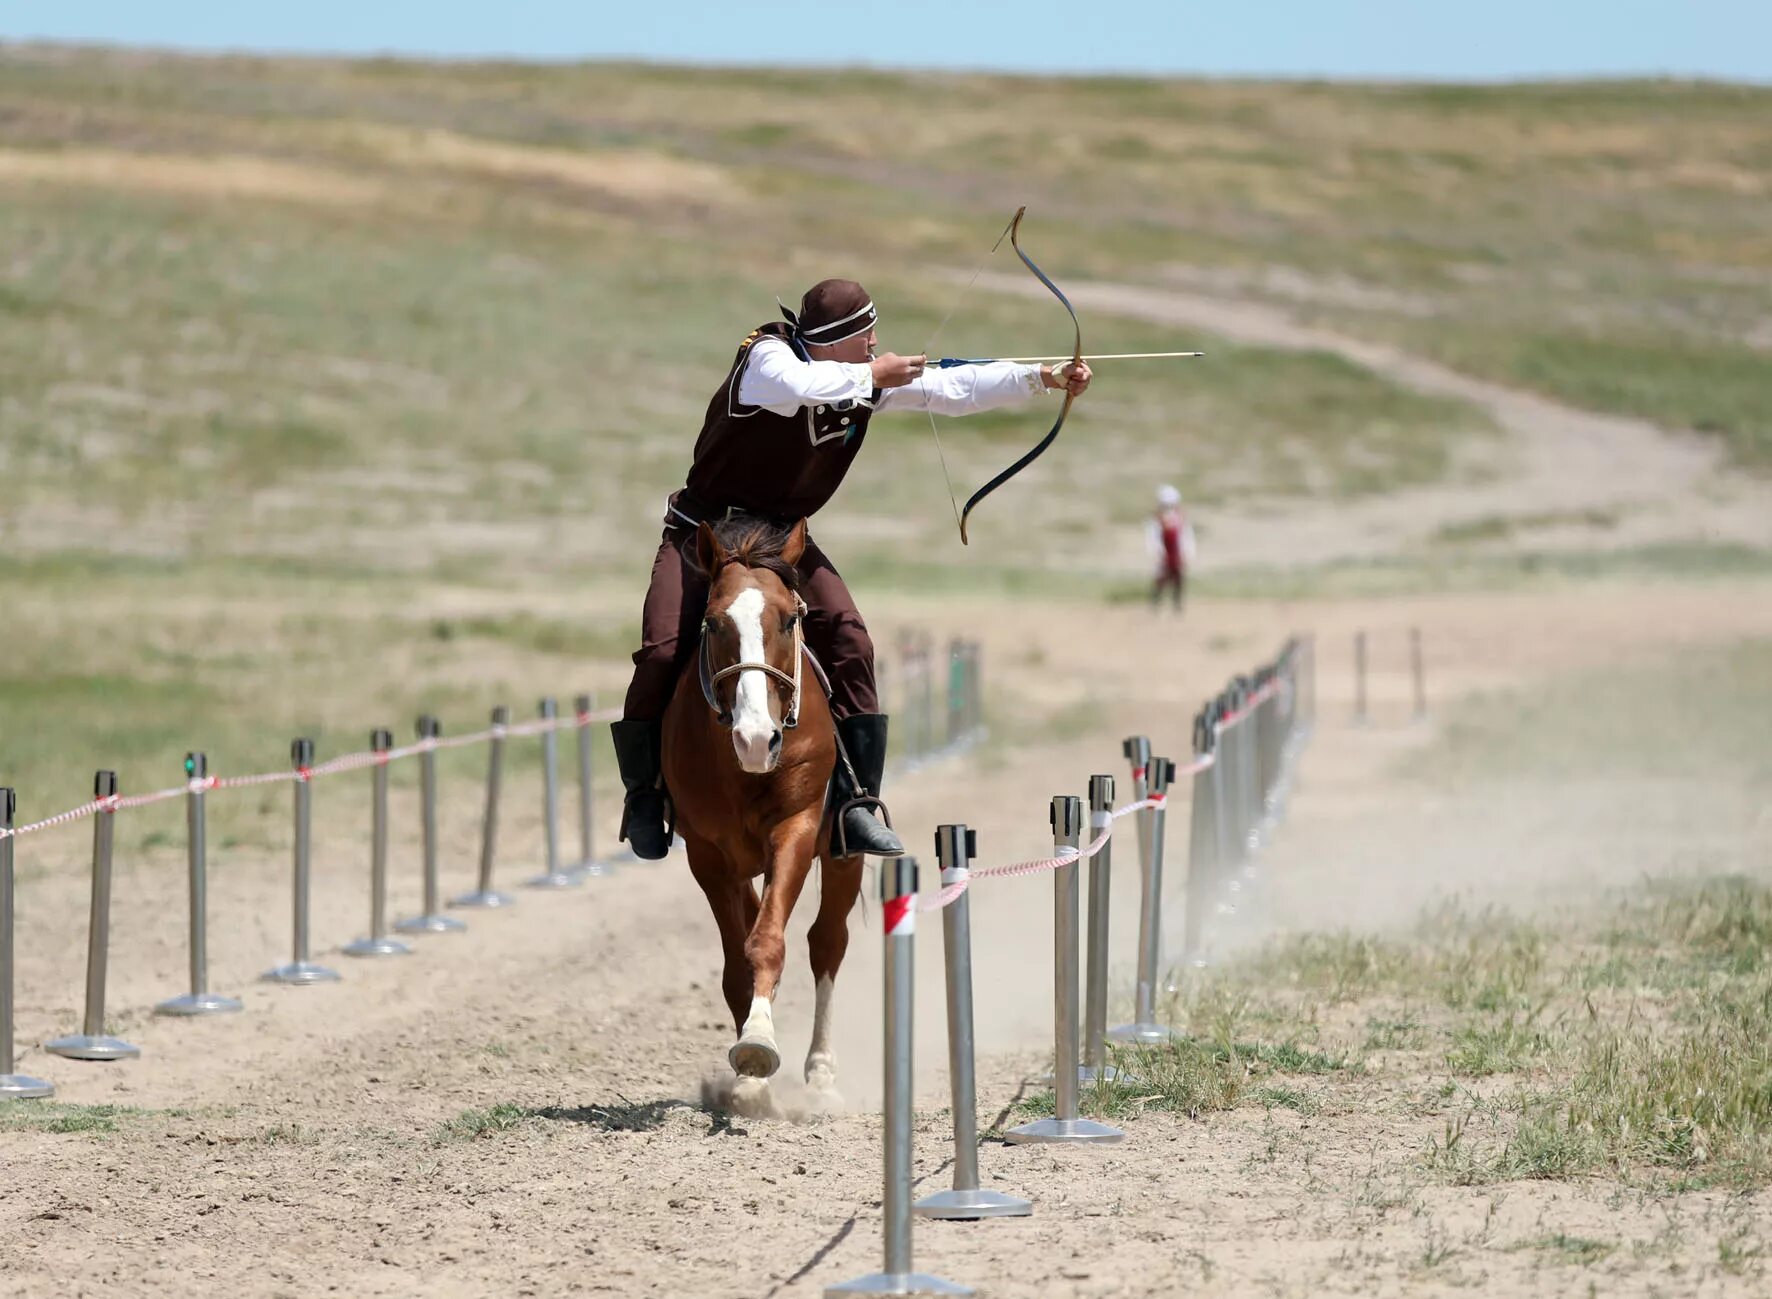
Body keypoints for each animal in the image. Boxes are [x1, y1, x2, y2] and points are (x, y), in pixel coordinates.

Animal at [662, 513, 861, 1105]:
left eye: (789, 618)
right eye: (712, 622)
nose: (756, 739)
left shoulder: (795, 831)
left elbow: (769, 942)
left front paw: (757, 1048)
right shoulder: (708, 857)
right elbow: (737, 963)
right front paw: (750, 1071)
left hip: (845, 857)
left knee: (827, 943)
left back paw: (821, 1073)